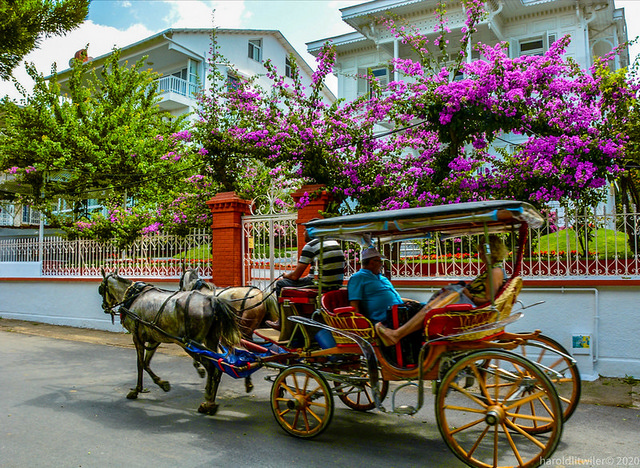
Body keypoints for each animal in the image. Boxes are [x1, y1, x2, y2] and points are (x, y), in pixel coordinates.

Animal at [99, 268, 241, 414]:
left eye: (101, 289)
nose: (104, 306)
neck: (133, 296)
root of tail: (211, 300)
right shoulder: (155, 339)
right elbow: (146, 363)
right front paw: (162, 384)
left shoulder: (137, 337)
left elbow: (140, 364)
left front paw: (137, 390)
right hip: (210, 339)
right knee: (218, 367)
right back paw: (211, 402)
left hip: (190, 343)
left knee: (211, 366)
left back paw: (208, 400)